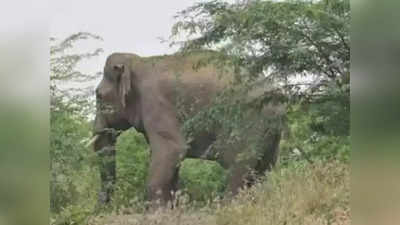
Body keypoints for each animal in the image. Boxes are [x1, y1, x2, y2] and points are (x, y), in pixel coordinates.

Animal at [91, 51, 284, 207]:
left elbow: (172, 150)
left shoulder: (157, 104)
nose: (103, 207)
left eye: (98, 95)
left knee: (238, 166)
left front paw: (157, 213)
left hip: (247, 121)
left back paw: (229, 208)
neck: (137, 62)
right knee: (262, 171)